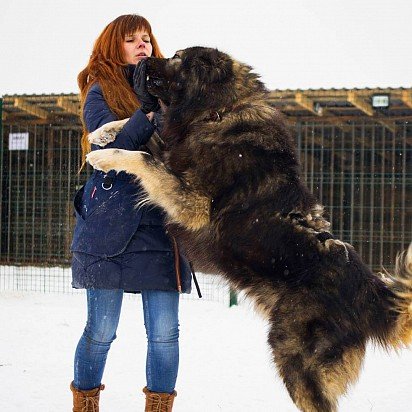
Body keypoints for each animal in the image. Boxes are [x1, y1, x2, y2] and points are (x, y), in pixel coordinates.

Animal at [85, 46, 410, 410]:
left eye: (177, 57)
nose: (141, 61)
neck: (218, 111)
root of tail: (369, 290)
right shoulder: (175, 151)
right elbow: (145, 136)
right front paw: (103, 133)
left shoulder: (192, 204)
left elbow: (144, 158)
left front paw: (104, 156)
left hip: (294, 356)